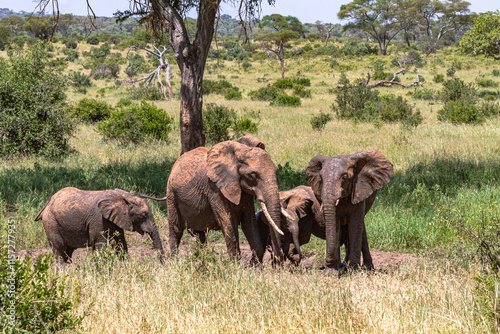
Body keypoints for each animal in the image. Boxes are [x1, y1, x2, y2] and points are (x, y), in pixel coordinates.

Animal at [35, 187, 164, 262]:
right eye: (143, 215)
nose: (162, 263)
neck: (124, 196)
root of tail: (47, 203)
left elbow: (120, 242)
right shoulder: (98, 219)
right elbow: (100, 244)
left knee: (68, 252)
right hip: (51, 223)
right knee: (60, 249)